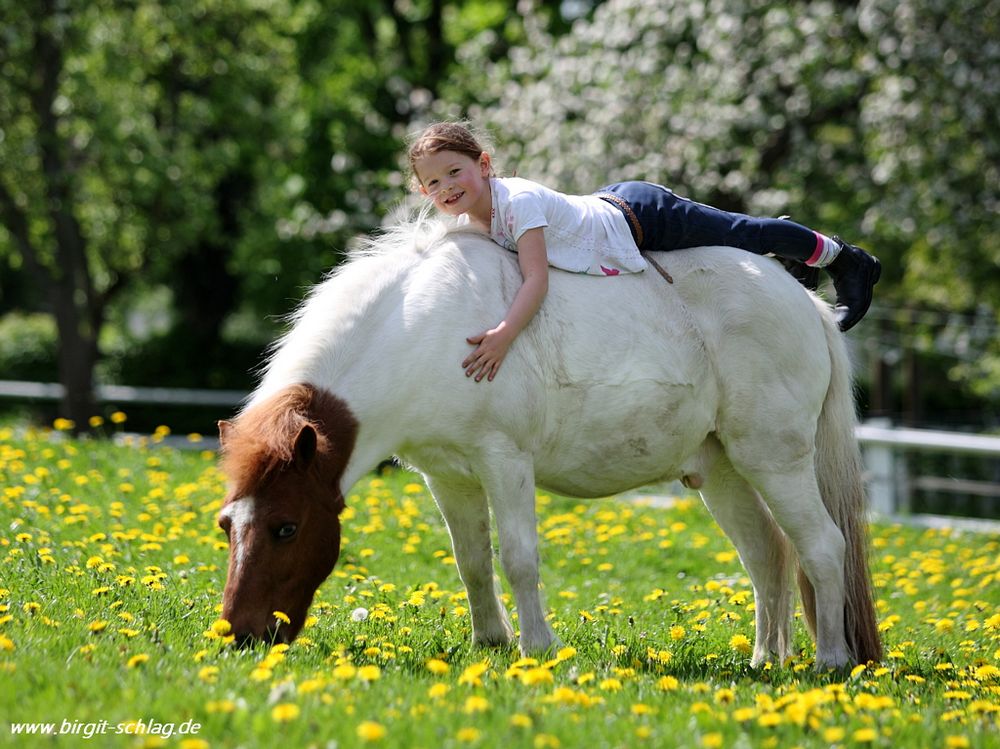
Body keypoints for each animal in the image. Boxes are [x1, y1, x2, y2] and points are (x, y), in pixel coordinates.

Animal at [219, 216, 884, 668]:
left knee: (823, 547)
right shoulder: (447, 475)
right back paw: (765, 661)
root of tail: (806, 304)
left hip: (775, 461)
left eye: (286, 527)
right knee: (767, 555)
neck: (422, 326)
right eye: (228, 525)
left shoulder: (504, 461)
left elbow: (518, 558)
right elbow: (471, 561)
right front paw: (489, 640)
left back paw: (831, 660)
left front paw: (536, 646)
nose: (240, 634)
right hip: (722, 473)